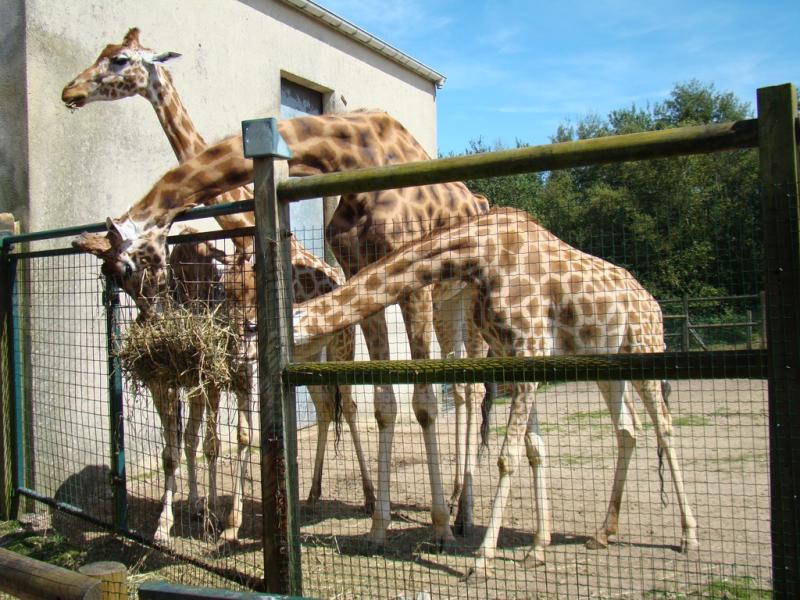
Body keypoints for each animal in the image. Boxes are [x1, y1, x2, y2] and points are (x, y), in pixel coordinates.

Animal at [63, 28, 374, 543]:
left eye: (120, 60)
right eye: (100, 54)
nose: (71, 91)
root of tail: (335, 274)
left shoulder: (242, 354)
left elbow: (240, 434)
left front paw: (229, 522)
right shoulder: (227, 357)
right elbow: (219, 433)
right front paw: (213, 515)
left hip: (342, 343)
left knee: (346, 405)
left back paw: (367, 498)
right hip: (310, 353)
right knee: (323, 406)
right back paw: (309, 495)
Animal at [71, 108, 492, 547]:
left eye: (126, 268)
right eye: (112, 277)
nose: (155, 324)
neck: (353, 152)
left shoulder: (410, 286)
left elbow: (423, 404)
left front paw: (439, 526)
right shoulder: (365, 280)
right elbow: (383, 404)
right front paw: (379, 525)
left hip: (461, 299)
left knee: (467, 386)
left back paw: (460, 514)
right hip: (443, 303)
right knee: (450, 387)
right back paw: (450, 501)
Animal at [289, 206, 699, 579]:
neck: (479, 256)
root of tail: (655, 305)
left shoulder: (529, 350)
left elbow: (508, 457)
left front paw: (483, 559)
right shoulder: (514, 357)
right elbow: (535, 449)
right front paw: (537, 548)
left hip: (643, 348)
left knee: (664, 426)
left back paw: (688, 537)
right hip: (606, 364)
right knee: (628, 429)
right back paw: (603, 533)